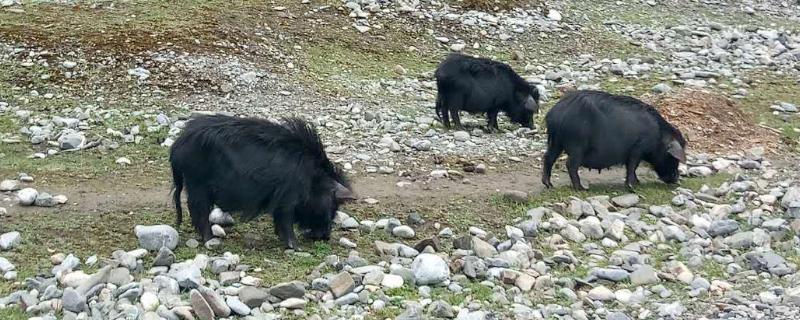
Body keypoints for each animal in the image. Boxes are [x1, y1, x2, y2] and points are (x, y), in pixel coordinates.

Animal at [170, 115, 354, 250]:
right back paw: (212, 241)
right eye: (333, 203)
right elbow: (286, 222)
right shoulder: (287, 199)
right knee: (198, 211)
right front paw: (296, 247)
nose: (326, 237)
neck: (312, 178)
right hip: (197, 184)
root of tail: (177, 146)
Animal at [540, 90, 692, 190]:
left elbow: (631, 168)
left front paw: (638, 183)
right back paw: (581, 188)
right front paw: (632, 187)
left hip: (555, 142)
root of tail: (555, 114)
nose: (676, 179)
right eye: (673, 157)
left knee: (548, 157)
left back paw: (549, 185)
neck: (658, 137)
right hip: (577, 145)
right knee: (570, 164)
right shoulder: (637, 149)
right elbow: (632, 166)